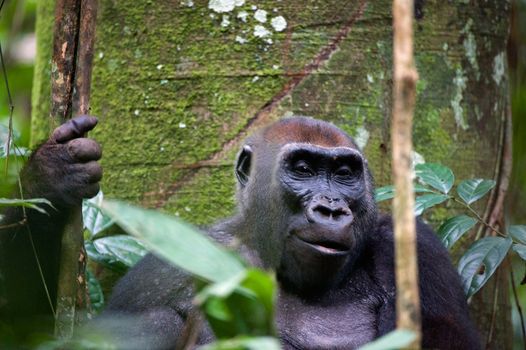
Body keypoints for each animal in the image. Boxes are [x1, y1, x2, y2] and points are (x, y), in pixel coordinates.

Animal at [0, 115, 482, 350]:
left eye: (345, 174)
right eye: (303, 169)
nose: (331, 209)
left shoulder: (414, 246)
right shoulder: (161, 269)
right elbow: (32, 324)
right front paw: (50, 176)